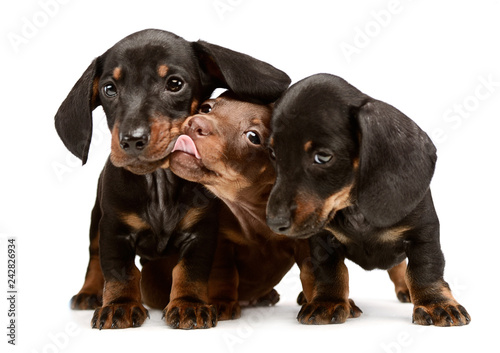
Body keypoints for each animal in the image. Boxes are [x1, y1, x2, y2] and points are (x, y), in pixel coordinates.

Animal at [53, 28, 290, 328]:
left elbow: (190, 271)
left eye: (175, 84)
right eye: (109, 88)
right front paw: (120, 305)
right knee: (94, 255)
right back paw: (89, 293)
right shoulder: (114, 230)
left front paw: (189, 304)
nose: (131, 140)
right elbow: (119, 271)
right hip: (98, 216)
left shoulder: (200, 233)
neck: (159, 183)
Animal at [268, 73, 470, 326]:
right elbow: (330, 271)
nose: (274, 223)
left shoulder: (423, 233)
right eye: (273, 153)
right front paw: (328, 301)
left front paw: (436, 304)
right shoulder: (323, 240)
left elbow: (425, 269)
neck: (356, 208)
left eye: (323, 157)